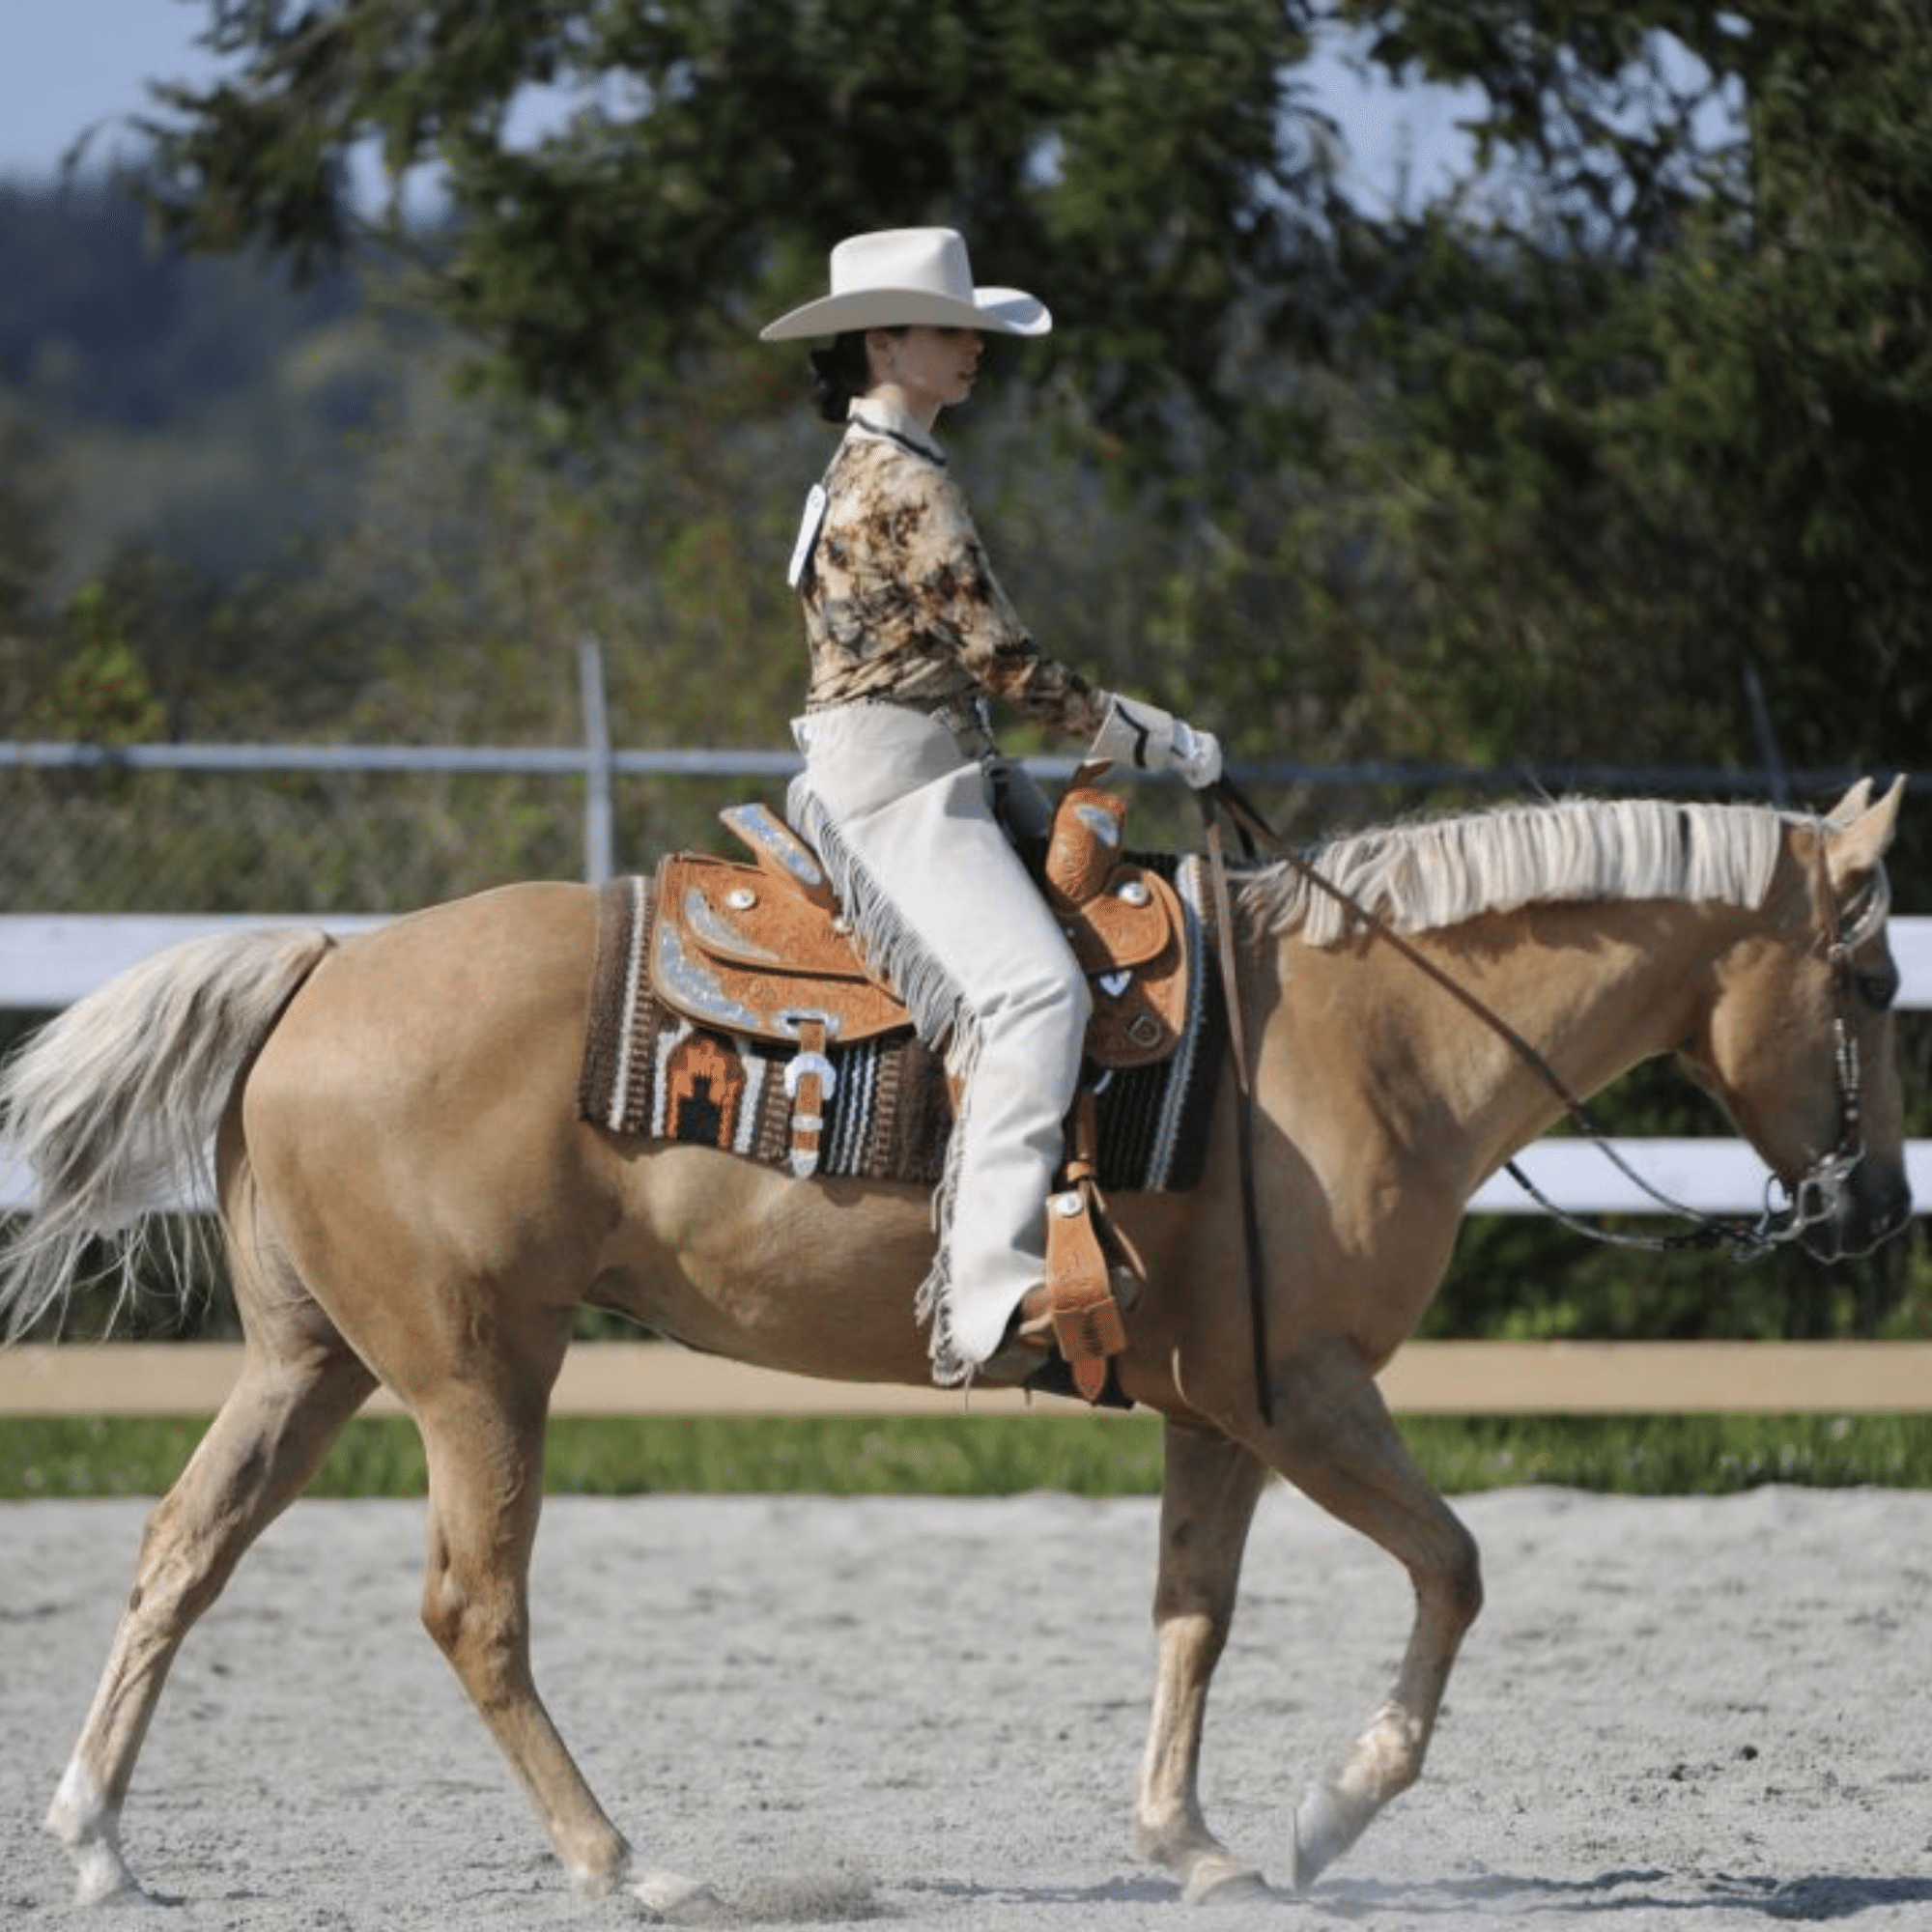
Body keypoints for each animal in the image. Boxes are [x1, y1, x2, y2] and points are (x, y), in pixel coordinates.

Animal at [0, 777, 1909, 1909]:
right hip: (480, 1373)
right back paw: (625, 1863)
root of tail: (324, 966)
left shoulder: (1216, 1414)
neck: (1367, 1036)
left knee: (179, 1554)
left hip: (309, 1366)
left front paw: (1191, 1844)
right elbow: (1455, 1565)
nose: (1877, 1211)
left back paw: (97, 1845)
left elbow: (1192, 1616)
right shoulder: (1307, 1396)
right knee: (473, 1611)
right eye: (1878, 985)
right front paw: (1332, 1812)